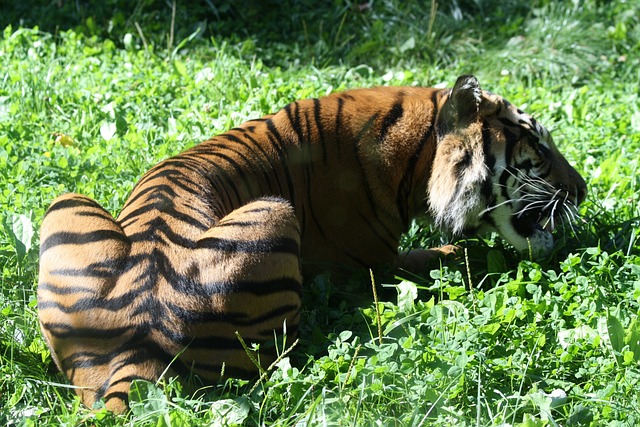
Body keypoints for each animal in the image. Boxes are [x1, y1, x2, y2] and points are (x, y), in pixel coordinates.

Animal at [35, 75, 584, 412]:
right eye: (538, 146)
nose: (581, 190)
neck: (417, 159)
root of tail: (141, 331)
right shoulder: (372, 265)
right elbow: (457, 253)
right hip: (275, 215)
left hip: (63, 202)